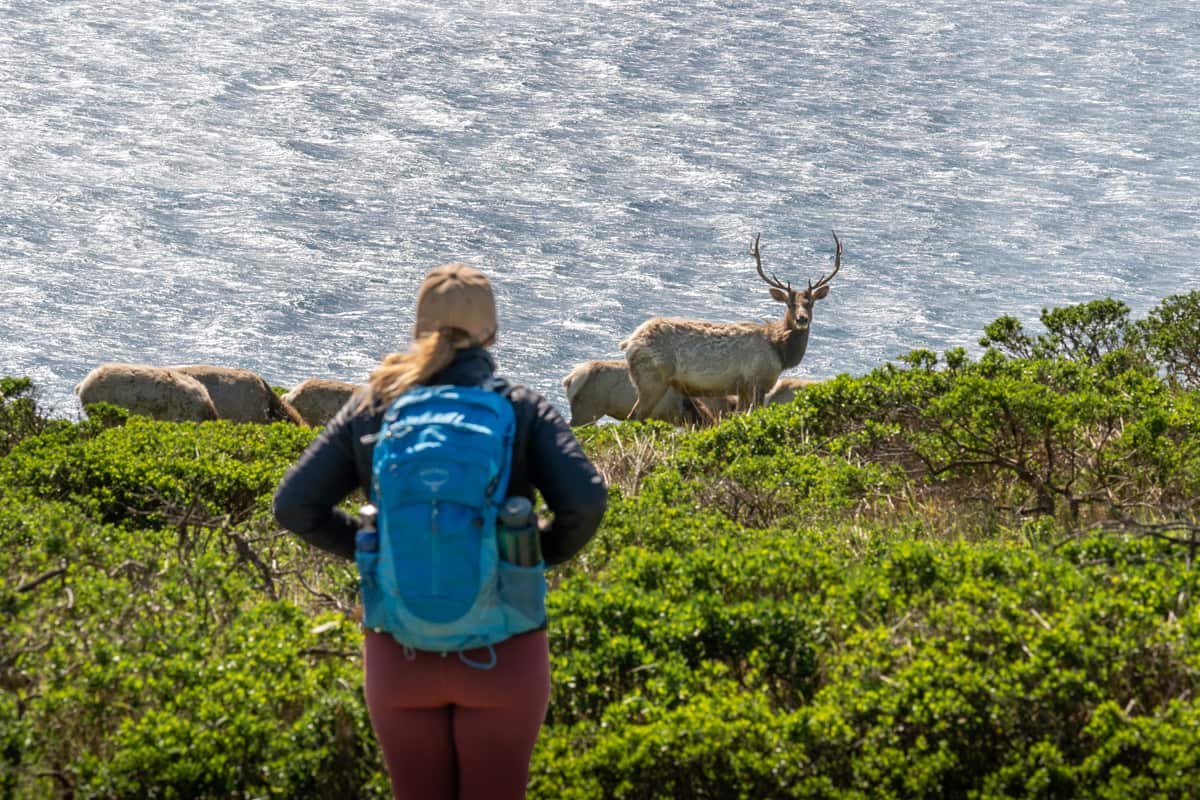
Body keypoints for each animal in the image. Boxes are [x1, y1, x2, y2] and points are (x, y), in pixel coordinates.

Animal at [621, 231, 841, 419]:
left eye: (810, 303)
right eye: (789, 304)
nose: (802, 319)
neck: (780, 351)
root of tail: (629, 342)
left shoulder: (742, 388)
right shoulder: (755, 380)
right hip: (652, 378)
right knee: (634, 416)